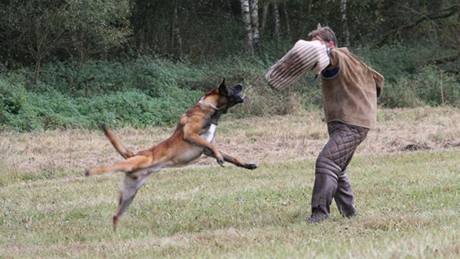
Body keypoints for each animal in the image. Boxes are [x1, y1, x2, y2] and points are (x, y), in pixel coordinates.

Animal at [84, 79, 256, 230]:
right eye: (231, 87)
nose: (240, 84)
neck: (209, 109)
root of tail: (135, 154)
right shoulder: (191, 134)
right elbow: (213, 147)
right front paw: (220, 158)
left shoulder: (207, 149)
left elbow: (230, 156)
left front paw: (247, 164)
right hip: (135, 163)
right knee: (110, 166)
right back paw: (89, 171)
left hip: (129, 194)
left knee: (115, 216)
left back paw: (115, 234)